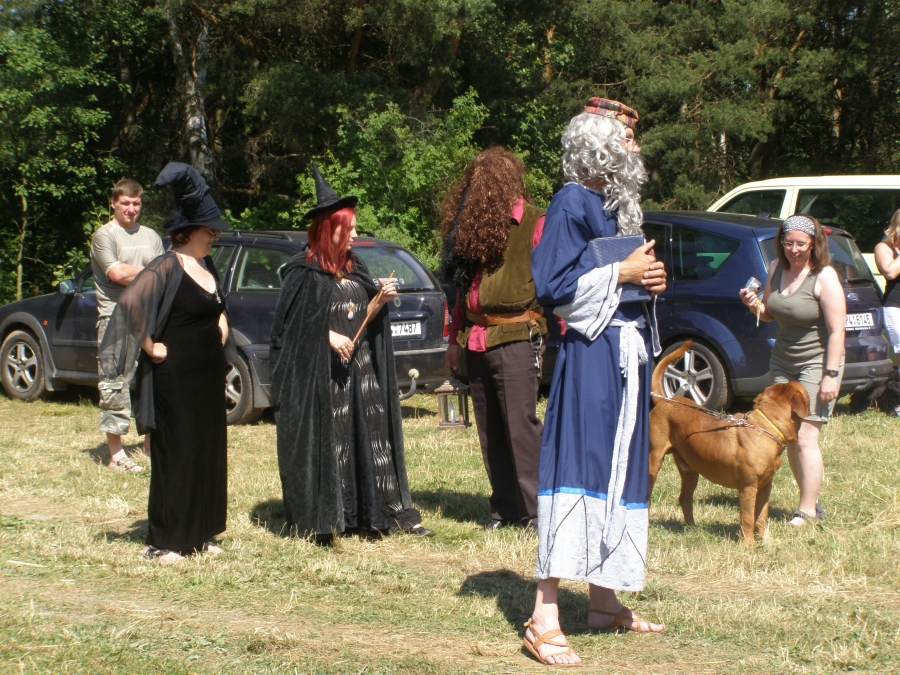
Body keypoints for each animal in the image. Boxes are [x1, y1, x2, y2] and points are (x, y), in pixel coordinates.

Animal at [648, 341, 810, 545]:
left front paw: (766, 540)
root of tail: (667, 401)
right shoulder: (748, 488)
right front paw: (749, 544)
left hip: (690, 469)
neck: (766, 427)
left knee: (685, 497)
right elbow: (748, 518)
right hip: (653, 461)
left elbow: (762, 516)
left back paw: (692, 528)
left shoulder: (765, 486)